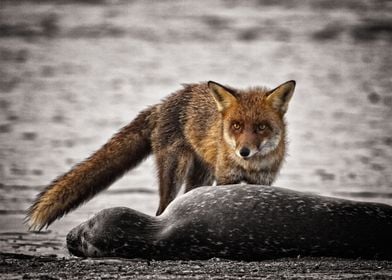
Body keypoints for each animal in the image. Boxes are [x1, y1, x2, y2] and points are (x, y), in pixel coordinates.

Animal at [26, 80, 296, 231]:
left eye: (261, 127)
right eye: (236, 126)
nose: (244, 151)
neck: (250, 167)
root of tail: (161, 104)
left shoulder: (263, 182)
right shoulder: (225, 178)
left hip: (199, 175)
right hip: (176, 171)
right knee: (162, 211)